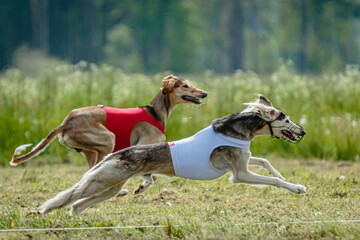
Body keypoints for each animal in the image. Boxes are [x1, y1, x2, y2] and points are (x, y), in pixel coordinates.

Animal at [35, 94, 308, 215]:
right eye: (286, 120)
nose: (303, 131)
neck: (237, 129)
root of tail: (116, 154)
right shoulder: (239, 174)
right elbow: (269, 180)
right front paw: (296, 187)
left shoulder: (242, 161)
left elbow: (266, 162)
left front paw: (282, 175)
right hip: (104, 180)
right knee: (71, 197)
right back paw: (43, 210)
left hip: (110, 187)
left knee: (77, 204)